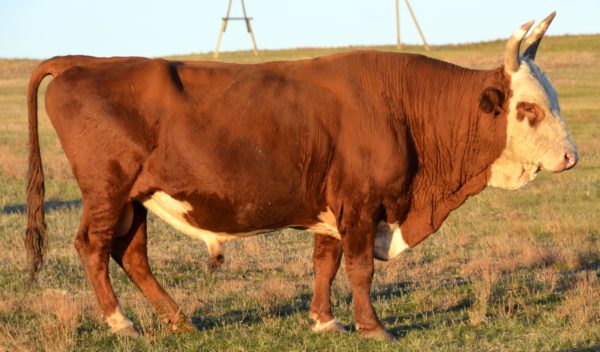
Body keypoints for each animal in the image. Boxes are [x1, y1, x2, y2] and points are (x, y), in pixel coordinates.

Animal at [24, 12, 576, 340]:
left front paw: (325, 321)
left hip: (136, 198)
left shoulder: (333, 207)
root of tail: (83, 62)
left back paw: (179, 320)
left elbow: (325, 263)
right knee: (94, 247)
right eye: (527, 109)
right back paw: (121, 324)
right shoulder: (361, 204)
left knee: (131, 253)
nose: (572, 157)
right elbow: (359, 268)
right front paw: (373, 327)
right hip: (108, 191)